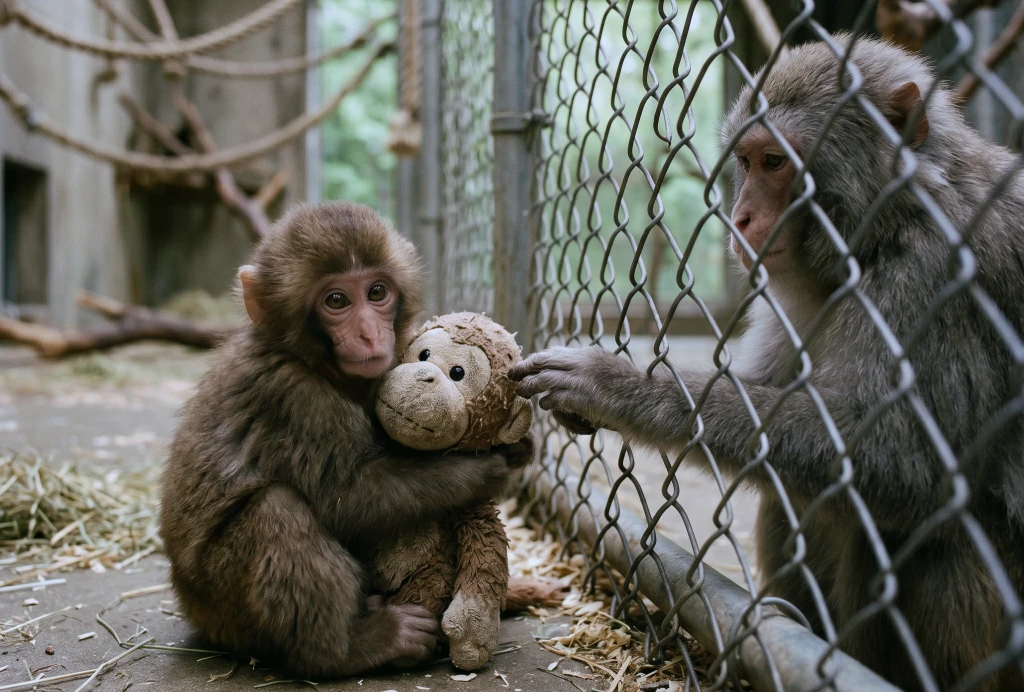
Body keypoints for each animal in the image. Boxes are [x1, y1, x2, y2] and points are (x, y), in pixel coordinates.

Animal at [159, 202, 529, 678]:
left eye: (377, 292)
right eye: (336, 300)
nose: (370, 333)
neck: (312, 362)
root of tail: (191, 606)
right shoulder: (295, 398)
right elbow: (346, 498)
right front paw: (485, 470)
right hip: (222, 607)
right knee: (276, 509)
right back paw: (352, 648)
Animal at [510, 35, 1024, 691]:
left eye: (777, 162)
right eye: (748, 161)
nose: (742, 217)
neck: (888, 223)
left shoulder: (940, 272)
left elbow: (906, 463)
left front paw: (616, 386)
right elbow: (774, 394)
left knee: (923, 533)